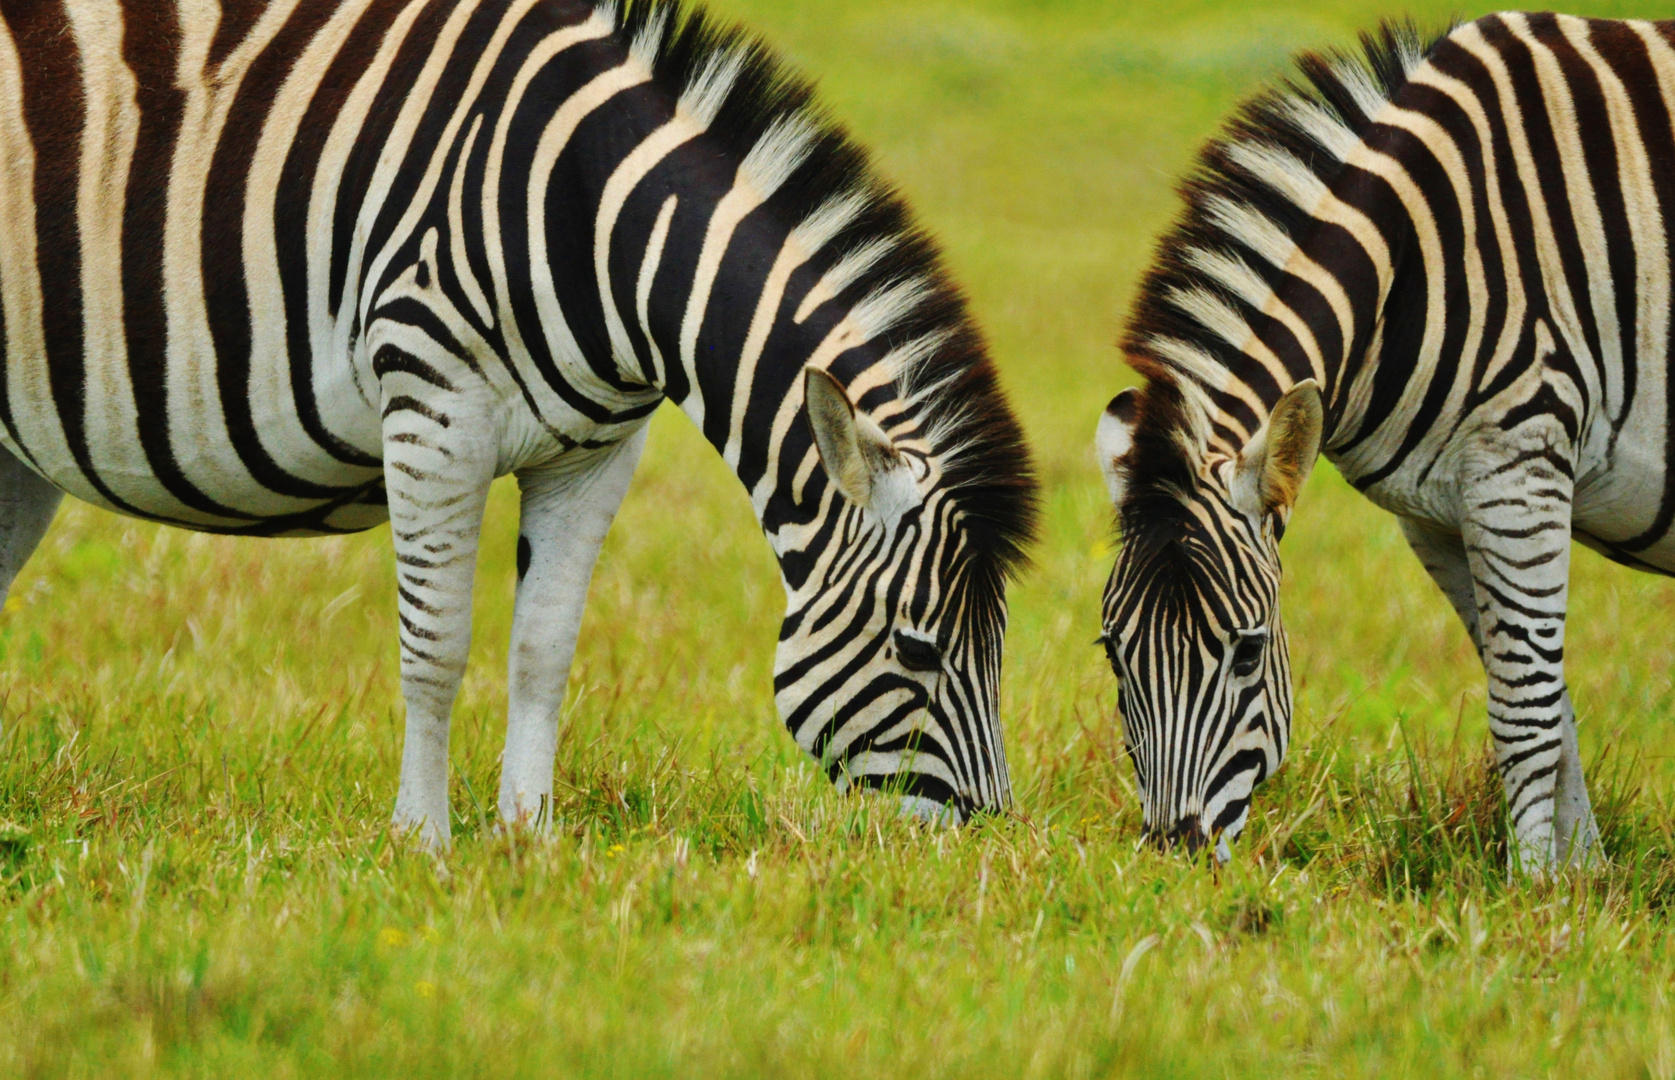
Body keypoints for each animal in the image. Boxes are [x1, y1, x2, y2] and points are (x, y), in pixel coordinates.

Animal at [0, 0, 1031, 843]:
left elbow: (542, 648)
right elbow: (437, 645)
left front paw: (526, 839)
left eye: (999, 648)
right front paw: (422, 842)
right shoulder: (433, 404)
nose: (984, 844)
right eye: (917, 650)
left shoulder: (596, 452)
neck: (593, 221)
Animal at [1092, 14, 1675, 870]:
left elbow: (1525, 708)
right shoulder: (1439, 514)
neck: (1417, 260)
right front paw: (1584, 879)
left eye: (1246, 651)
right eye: (1111, 652)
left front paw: (1534, 886)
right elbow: (1539, 695)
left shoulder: (1519, 464)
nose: (1175, 856)